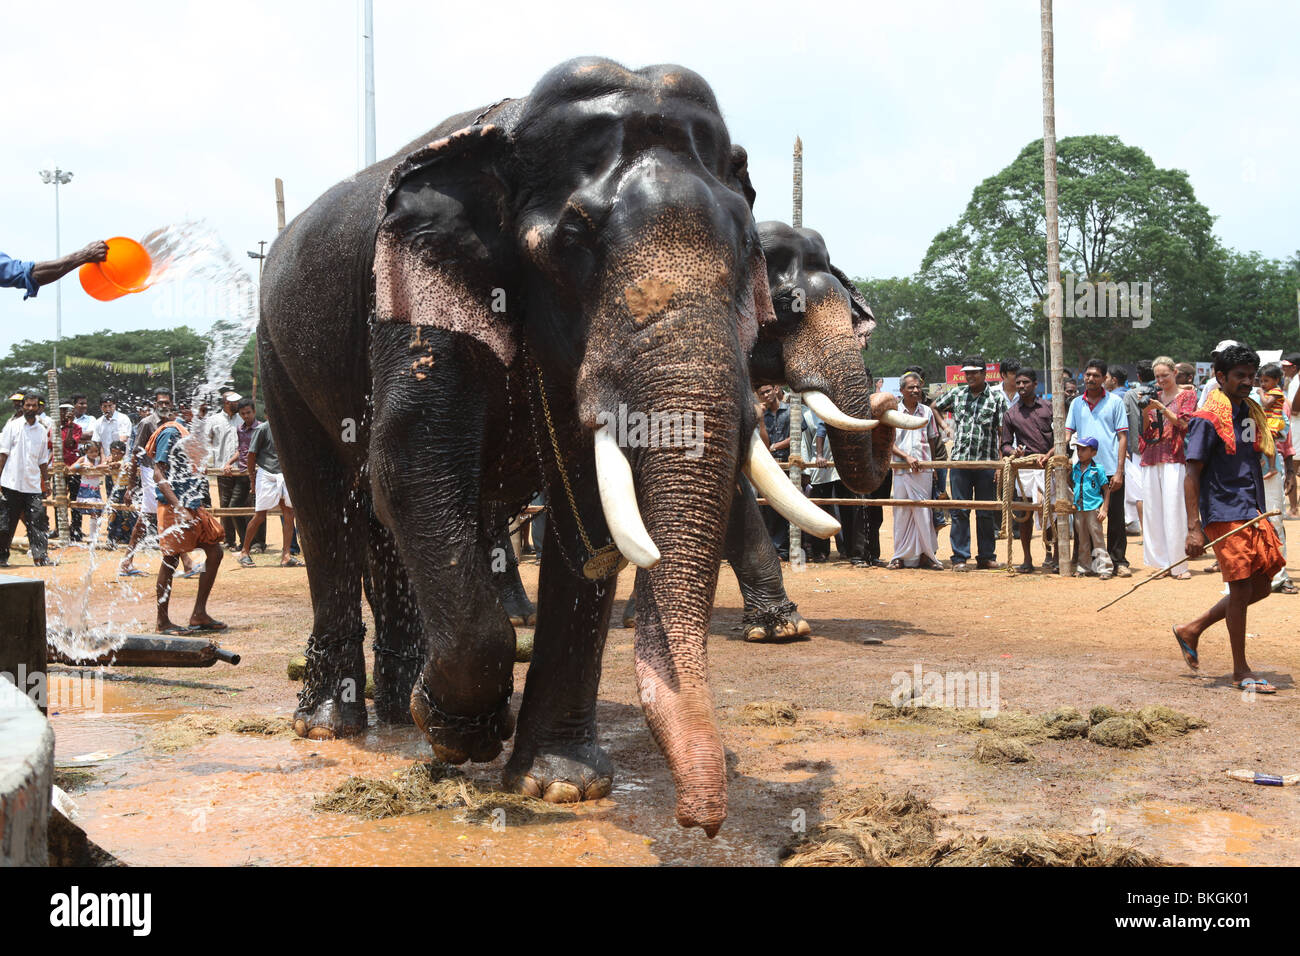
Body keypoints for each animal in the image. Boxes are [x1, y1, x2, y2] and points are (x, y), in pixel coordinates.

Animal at [258, 61, 837, 837]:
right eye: (572, 240)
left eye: (748, 251)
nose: (702, 823)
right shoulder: (416, 287)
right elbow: (412, 464)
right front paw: (461, 733)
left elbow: (587, 507)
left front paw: (560, 785)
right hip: (274, 349)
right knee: (327, 508)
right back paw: (333, 723)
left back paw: (399, 709)